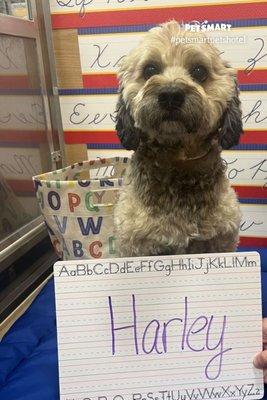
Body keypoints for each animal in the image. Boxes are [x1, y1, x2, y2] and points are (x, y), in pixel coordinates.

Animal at [114, 21, 244, 258]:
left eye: (199, 71)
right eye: (150, 69)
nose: (170, 95)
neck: (178, 160)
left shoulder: (222, 240)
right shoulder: (135, 246)